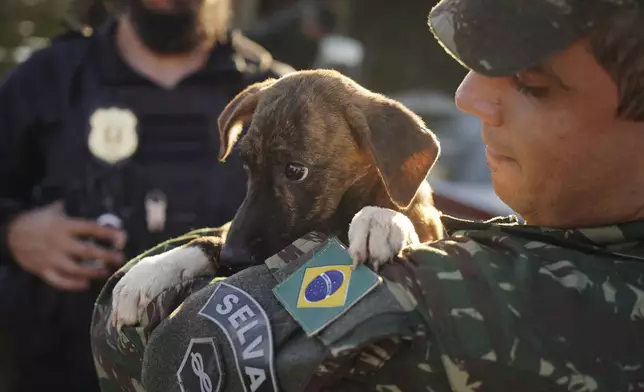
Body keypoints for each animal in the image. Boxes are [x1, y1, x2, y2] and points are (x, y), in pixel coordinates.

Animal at [110, 70, 442, 328]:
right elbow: (207, 239)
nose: (232, 258)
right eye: (246, 164)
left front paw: (380, 220)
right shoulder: (229, 231)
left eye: (295, 170)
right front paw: (149, 272)